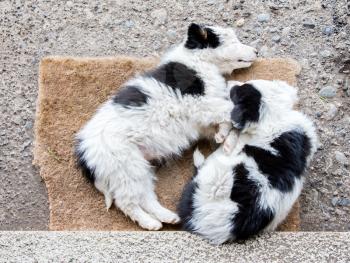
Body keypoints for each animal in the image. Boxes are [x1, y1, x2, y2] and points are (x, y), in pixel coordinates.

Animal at [74, 24, 258, 231]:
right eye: (233, 41)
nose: (257, 51)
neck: (199, 60)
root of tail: (84, 153)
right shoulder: (198, 103)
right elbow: (227, 107)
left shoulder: (201, 119)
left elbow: (223, 120)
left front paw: (224, 138)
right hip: (125, 166)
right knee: (127, 202)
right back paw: (149, 223)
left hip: (136, 167)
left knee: (145, 197)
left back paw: (167, 217)